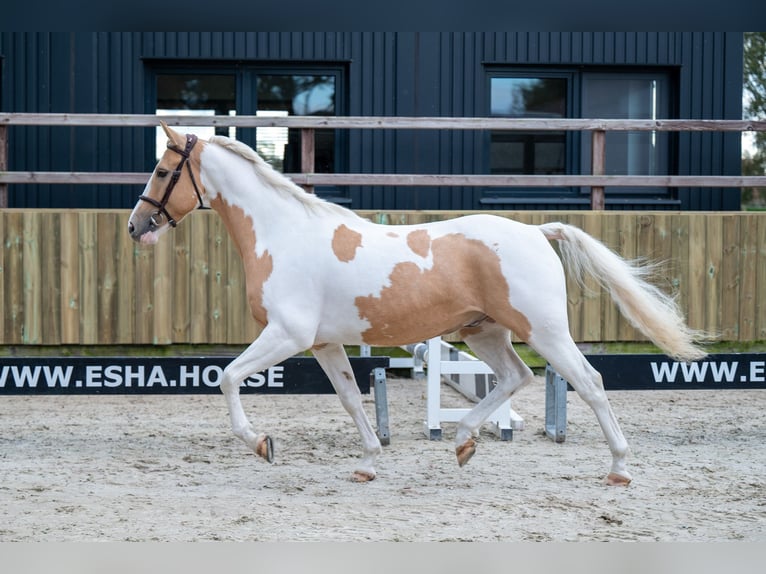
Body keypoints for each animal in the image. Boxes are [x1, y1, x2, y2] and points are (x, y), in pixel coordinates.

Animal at [126, 122, 708, 486]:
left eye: (162, 171)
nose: (135, 227)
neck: (283, 234)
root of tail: (538, 231)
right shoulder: (323, 343)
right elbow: (351, 399)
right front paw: (367, 463)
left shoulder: (287, 336)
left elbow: (227, 376)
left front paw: (260, 443)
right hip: (483, 332)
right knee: (516, 377)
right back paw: (465, 441)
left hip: (543, 331)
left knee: (588, 382)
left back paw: (619, 469)